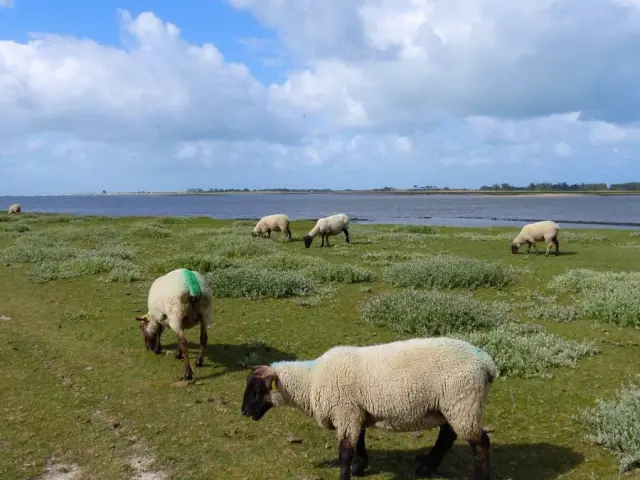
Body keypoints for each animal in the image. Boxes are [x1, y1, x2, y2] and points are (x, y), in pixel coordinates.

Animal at [241, 337, 497, 480]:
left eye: (256, 391)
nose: (243, 412)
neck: (311, 380)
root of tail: (487, 363)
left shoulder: (346, 412)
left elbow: (345, 452)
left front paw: (346, 474)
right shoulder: (356, 412)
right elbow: (360, 441)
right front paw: (360, 466)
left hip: (464, 402)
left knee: (481, 444)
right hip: (451, 406)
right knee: (447, 436)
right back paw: (425, 469)